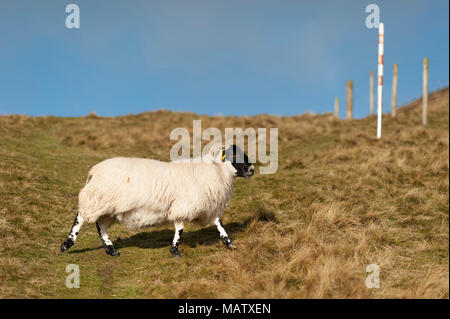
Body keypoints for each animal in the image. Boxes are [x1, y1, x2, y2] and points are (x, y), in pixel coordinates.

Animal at [60, 145, 253, 258]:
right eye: (234, 155)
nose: (251, 169)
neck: (214, 171)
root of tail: (94, 170)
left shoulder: (206, 208)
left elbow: (219, 224)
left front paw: (229, 243)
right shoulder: (183, 205)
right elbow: (180, 229)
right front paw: (175, 251)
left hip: (109, 207)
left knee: (101, 226)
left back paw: (111, 249)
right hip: (97, 198)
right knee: (81, 217)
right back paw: (67, 243)